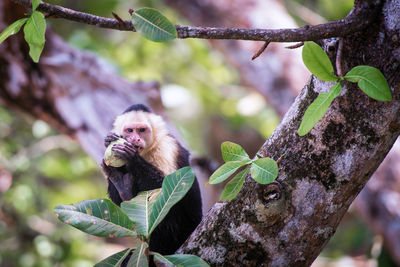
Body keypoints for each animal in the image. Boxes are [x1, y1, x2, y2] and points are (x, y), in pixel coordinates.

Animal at [100, 103, 200, 256]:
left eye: (142, 130)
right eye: (130, 130)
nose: (135, 139)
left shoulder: (166, 147)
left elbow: (168, 187)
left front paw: (132, 157)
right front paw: (108, 141)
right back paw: (123, 186)